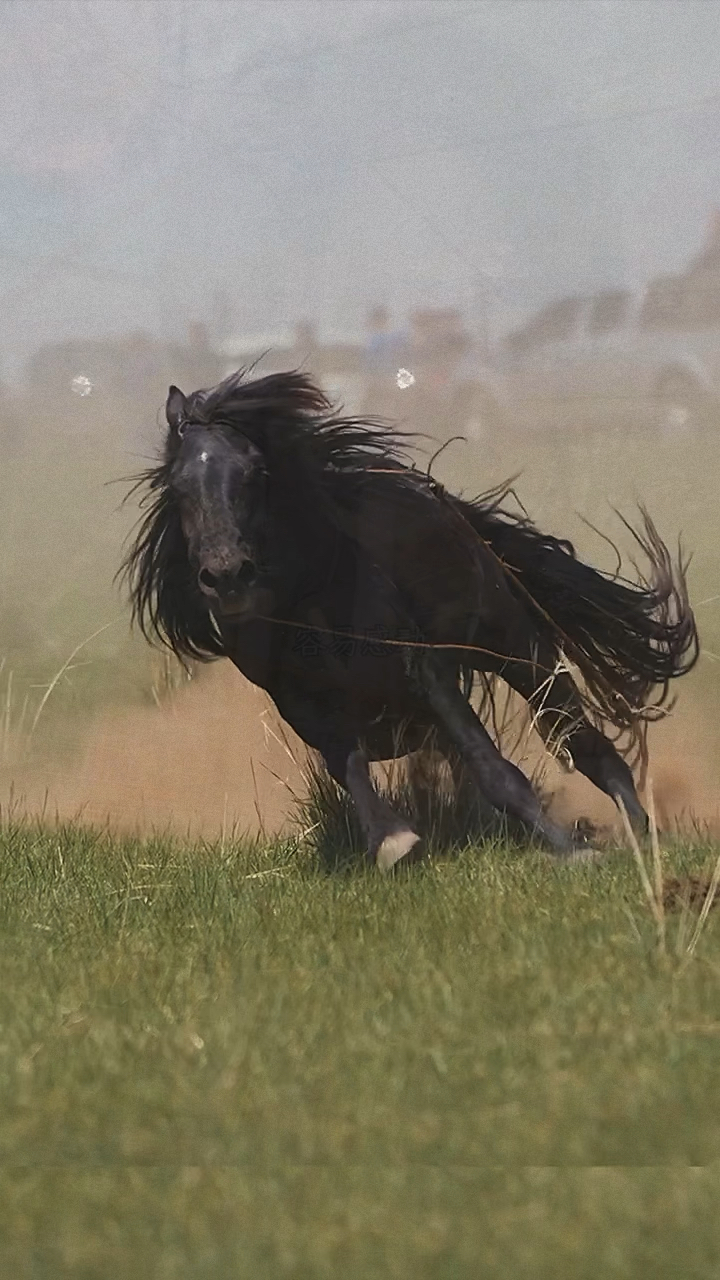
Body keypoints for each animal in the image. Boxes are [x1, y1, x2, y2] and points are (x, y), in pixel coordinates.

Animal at [120, 368, 699, 871]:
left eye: (255, 472)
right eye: (179, 484)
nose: (227, 575)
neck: (313, 601)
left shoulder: (426, 671)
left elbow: (494, 768)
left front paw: (572, 850)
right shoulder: (299, 702)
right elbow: (348, 766)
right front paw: (393, 842)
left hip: (518, 648)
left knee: (586, 744)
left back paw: (642, 833)